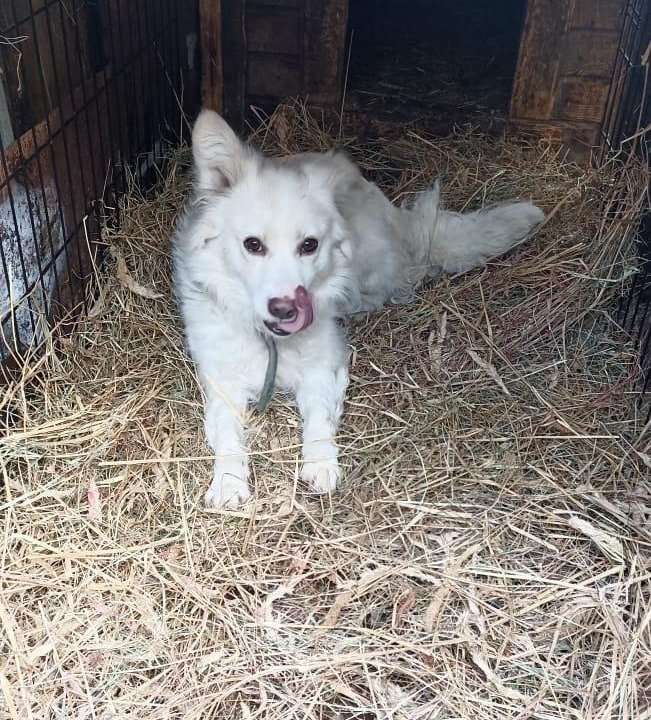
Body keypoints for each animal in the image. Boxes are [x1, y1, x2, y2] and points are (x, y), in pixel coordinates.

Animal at [171, 111, 544, 506]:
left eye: (309, 245)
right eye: (252, 244)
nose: (286, 309)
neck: (272, 341)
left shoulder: (324, 365)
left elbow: (319, 417)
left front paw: (320, 465)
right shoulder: (221, 378)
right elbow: (227, 431)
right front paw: (228, 481)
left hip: (371, 264)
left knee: (400, 281)